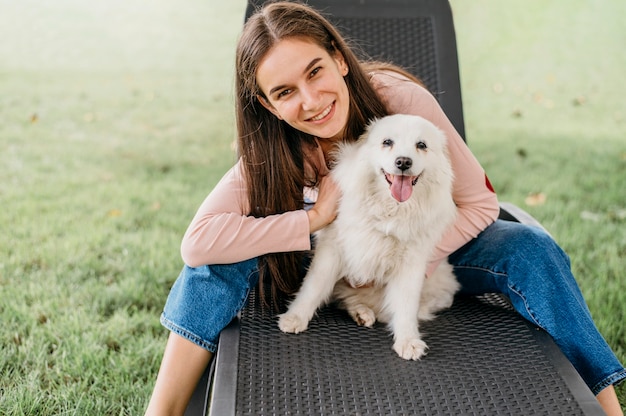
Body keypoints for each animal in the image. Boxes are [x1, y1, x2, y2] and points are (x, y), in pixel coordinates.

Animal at [280, 114, 458, 360]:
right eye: (387, 142)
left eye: (421, 145)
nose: (403, 162)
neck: (390, 209)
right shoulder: (332, 248)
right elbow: (313, 287)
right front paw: (295, 317)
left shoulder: (411, 264)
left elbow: (406, 306)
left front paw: (408, 340)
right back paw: (361, 312)